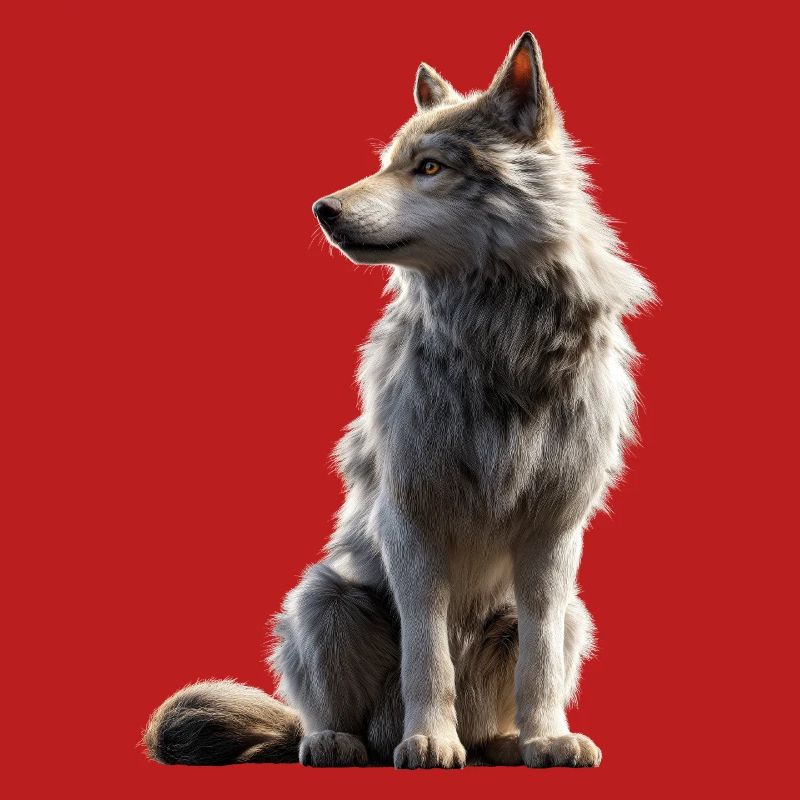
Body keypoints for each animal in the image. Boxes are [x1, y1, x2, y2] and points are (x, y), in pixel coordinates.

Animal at [144, 31, 653, 769]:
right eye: (387, 164)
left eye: (430, 167)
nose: (323, 209)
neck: (499, 340)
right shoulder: (411, 521)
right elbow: (426, 654)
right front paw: (430, 741)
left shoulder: (554, 535)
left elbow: (540, 665)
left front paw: (549, 739)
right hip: (323, 599)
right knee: (327, 715)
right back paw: (341, 742)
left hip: (574, 615)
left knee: (520, 680)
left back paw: (504, 743)